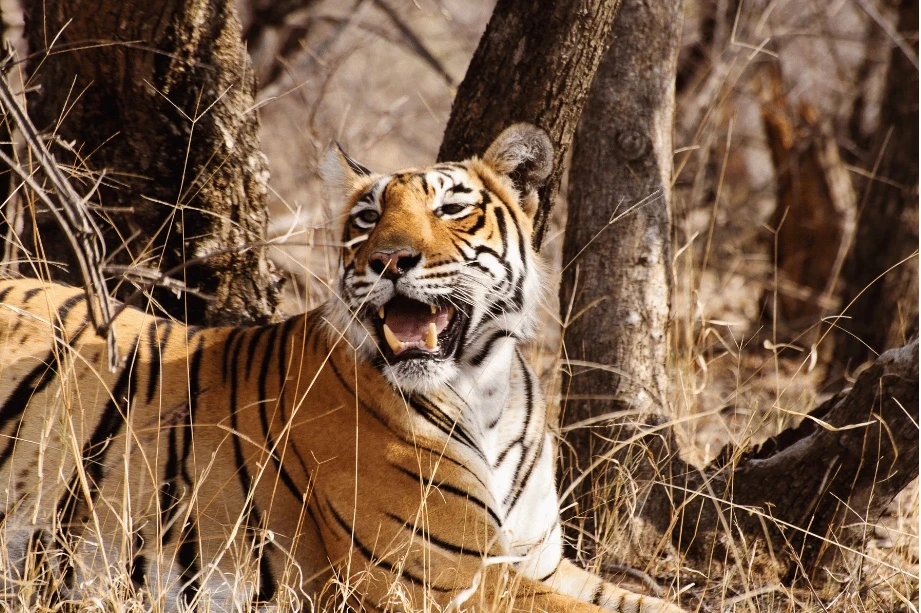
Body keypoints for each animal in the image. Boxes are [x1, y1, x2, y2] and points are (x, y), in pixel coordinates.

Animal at [0, 124, 684, 612]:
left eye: (451, 210)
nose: (390, 260)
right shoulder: (450, 577)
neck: (485, 389)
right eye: (367, 218)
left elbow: (656, 604)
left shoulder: (539, 561)